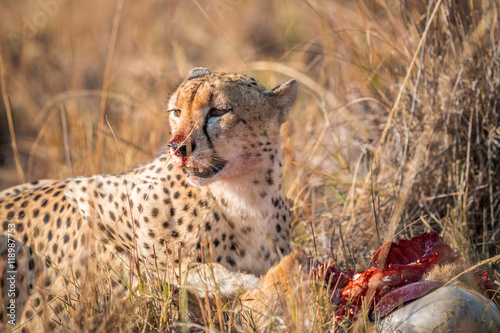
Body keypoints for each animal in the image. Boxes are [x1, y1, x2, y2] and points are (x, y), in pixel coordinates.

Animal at [0, 67, 296, 330]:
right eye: (177, 112)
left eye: (219, 112)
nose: (178, 148)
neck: (243, 197)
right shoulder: (90, 194)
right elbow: (171, 264)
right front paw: (236, 281)